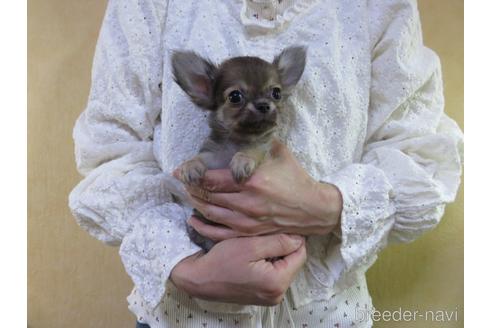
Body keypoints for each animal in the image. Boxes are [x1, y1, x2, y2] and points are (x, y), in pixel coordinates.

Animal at [171, 46, 306, 251]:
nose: (264, 104)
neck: (238, 141)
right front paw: (189, 166)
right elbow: (199, 157)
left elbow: (253, 151)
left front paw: (242, 160)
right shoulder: (212, 156)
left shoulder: (263, 150)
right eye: (235, 96)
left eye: (276, 93)